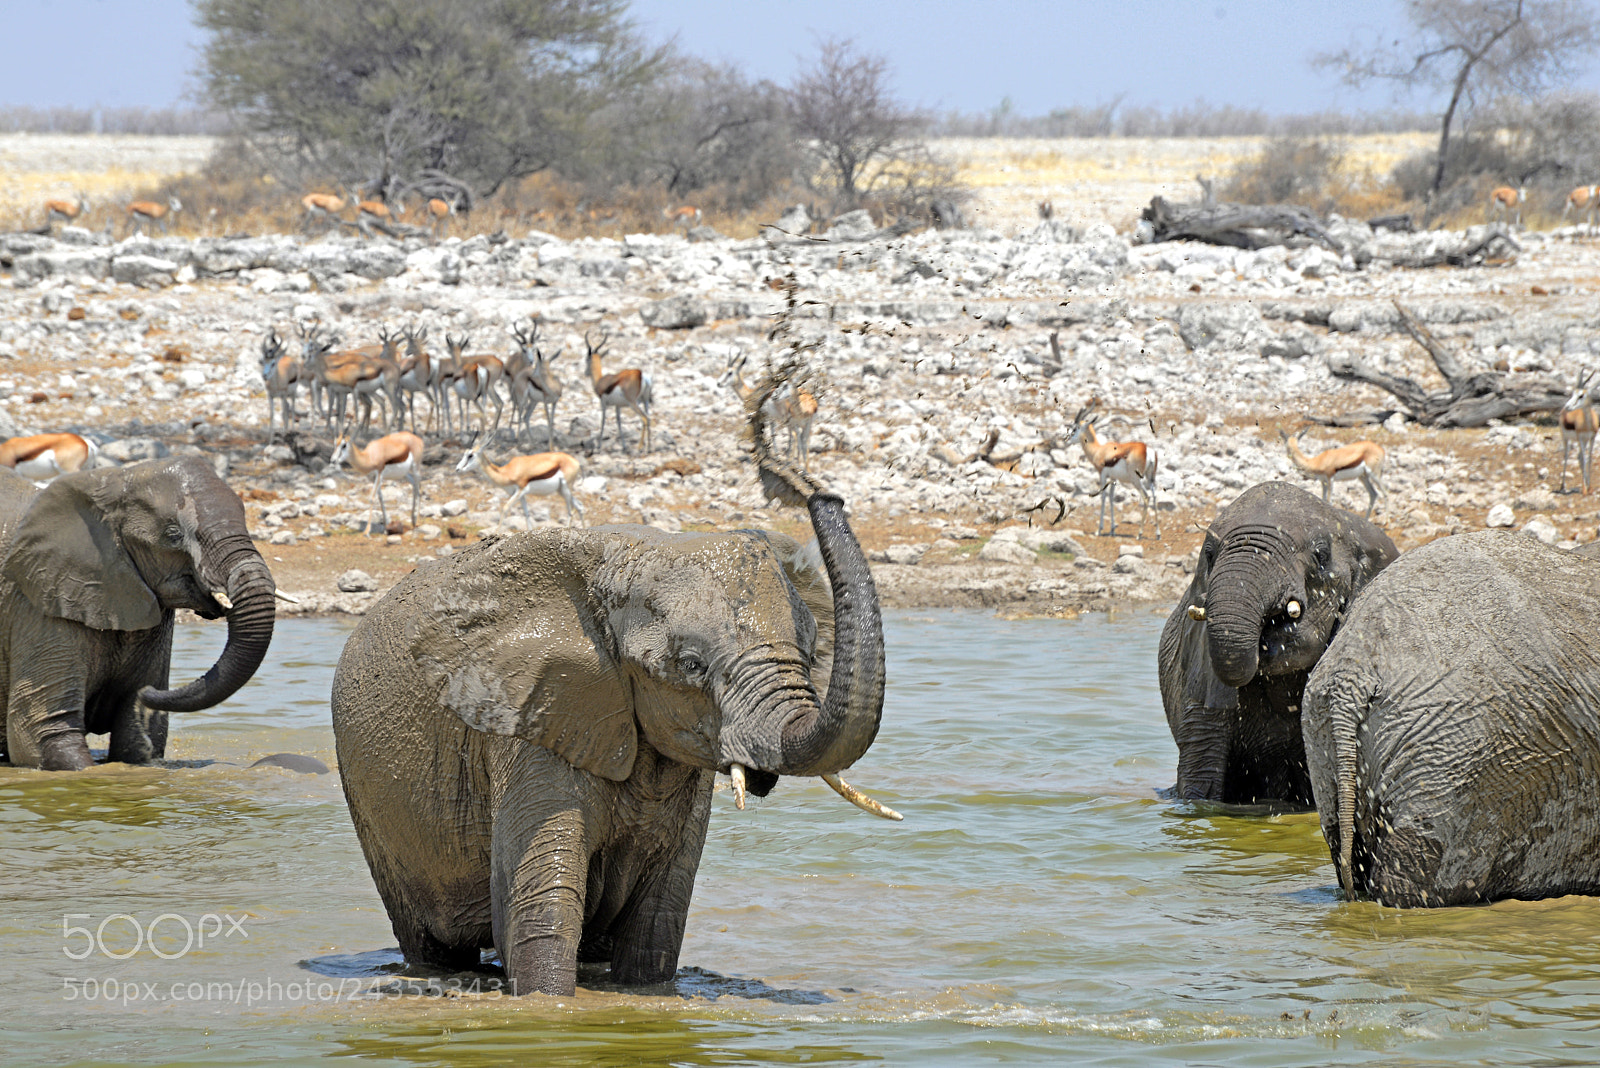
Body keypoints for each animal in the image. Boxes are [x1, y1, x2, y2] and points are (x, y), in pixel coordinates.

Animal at [331, 486, 892, 997]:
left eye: (812, 651)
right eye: (691, 665)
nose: (822, 494)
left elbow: (659, 920)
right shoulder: (534, 719)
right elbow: (539, 905)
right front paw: (548, 1007)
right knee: (429, 942)